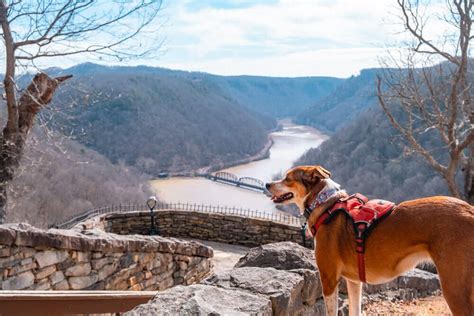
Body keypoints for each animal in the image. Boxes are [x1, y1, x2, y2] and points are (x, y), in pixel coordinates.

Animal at [266, 167, 474, 314]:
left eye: (287, 178)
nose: (267, 184)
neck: (326, 204)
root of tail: (469, 210)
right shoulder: (354, 281)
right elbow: (355, 310)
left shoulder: (328, 279)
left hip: (455, 289)